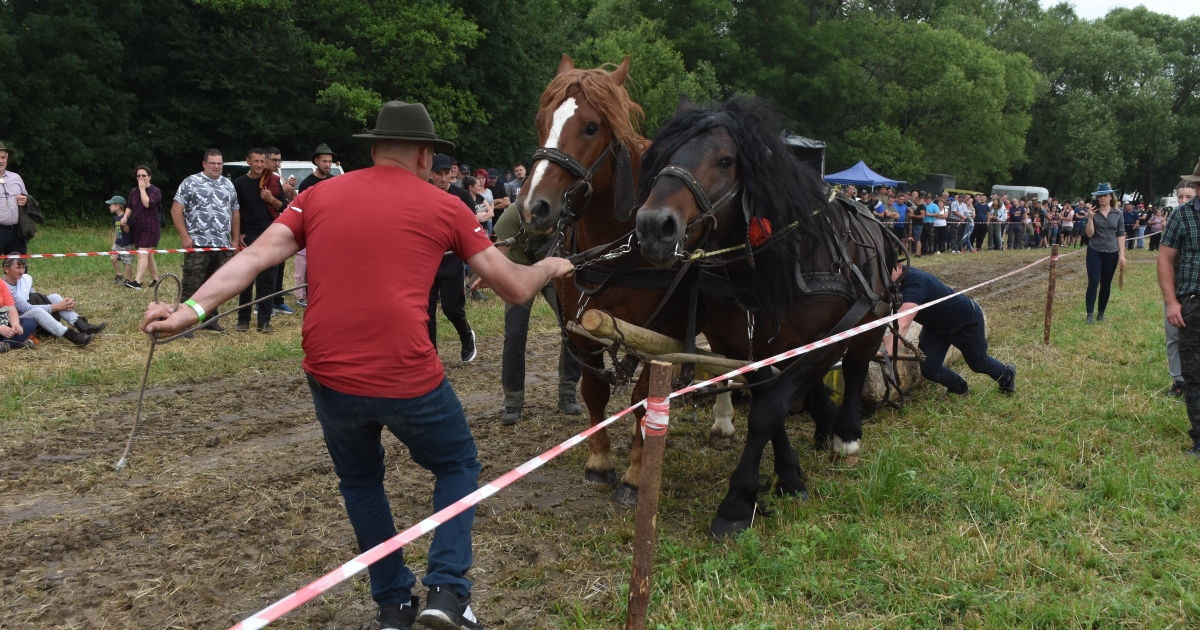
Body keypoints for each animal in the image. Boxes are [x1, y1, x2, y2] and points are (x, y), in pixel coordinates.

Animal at [516, 56, 729, 504]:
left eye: (591, 127)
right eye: (542, 120)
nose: (532, 209)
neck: (618, 249)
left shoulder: (661, 338)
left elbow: (642, 399)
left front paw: (634, 474)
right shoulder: (581, 329)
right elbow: (593, 392)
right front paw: (599, 462)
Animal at [633, 97, 897, 535]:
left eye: (725, 160)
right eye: (662, 154)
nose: (654, 227)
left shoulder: (827, 341)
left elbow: (768, 411)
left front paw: (737, 503)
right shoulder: (745, 346)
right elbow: (769, 404)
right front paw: (787, 477)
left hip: (868, 324)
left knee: (858, 369)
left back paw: (845, 435)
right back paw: (824, 426)